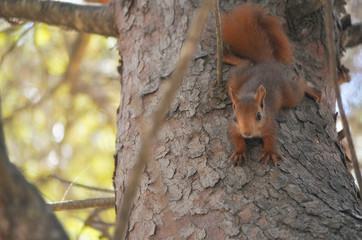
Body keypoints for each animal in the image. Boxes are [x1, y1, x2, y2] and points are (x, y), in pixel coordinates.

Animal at [223, 4, 322, 165]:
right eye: (235, 118)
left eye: (259, 116)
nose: (247, 133)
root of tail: (268, 63)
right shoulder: (232, 127)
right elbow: (236, 138)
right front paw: (239, 151)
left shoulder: (270, 123)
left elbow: (271, 137)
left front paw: (269, 152)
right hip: (237, 79)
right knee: (247, 62)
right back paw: (229, 57)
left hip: (287, 93)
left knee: (298, 86)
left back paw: (313, 91)